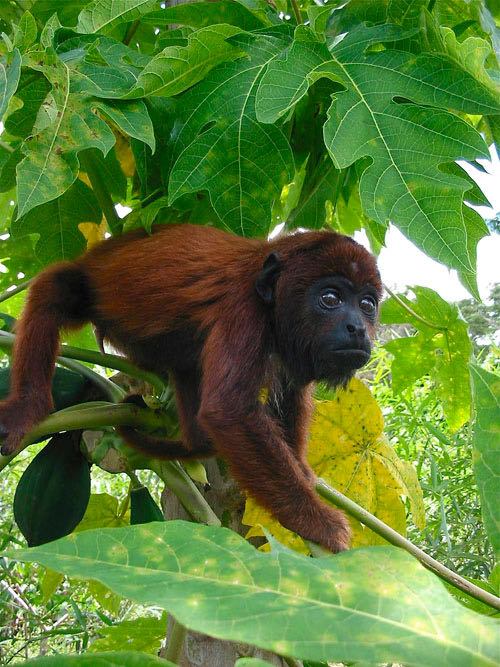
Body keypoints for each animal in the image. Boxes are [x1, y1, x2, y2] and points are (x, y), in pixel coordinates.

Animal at [0, 224, 378, 552]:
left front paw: (302, 472)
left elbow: (288, 396)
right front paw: (317, 521)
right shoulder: (242, 310)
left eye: (367, 305)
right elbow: (228, 411)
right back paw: (27, 408)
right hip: (89, 284)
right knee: (56, 287)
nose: (358, 328)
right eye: (330, 298)